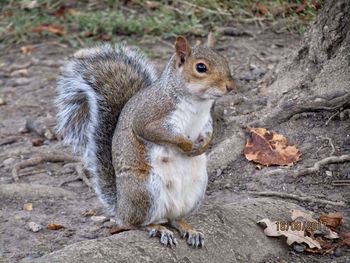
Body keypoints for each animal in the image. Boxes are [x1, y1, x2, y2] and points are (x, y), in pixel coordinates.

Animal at [55, 36, 235, 249]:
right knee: (136, 223)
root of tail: (121, 206)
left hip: (196, 189)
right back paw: (157, 229)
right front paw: (187, 145)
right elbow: (158, 133)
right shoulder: (148, 116)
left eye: (225, 60)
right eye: (201, 67)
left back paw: (188, 229)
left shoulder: (206, 121)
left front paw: (203, 147)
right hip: (144, 191)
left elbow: (208, 134)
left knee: (173, 219)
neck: (197, 103)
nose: (230, 86)